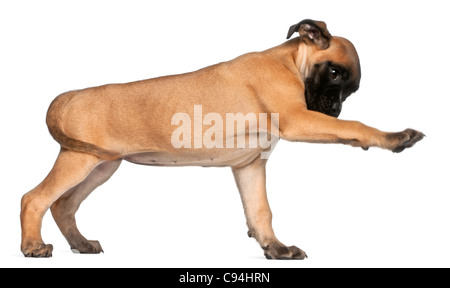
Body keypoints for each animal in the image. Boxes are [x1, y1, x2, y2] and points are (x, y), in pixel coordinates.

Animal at [19, 19, 424, 258]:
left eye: (351, 90)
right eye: (335, 72)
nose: (333, 111)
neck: (290, 61)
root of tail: (65, 98)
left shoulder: (250, 166)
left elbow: (260, 211)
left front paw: (275, 248)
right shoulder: (299, 121)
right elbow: (356, 127)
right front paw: (394, 136)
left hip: (102, 165)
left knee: (63, 205)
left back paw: (80, 243)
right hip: (80, 160)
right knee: (35, 199)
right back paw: (33, 246)